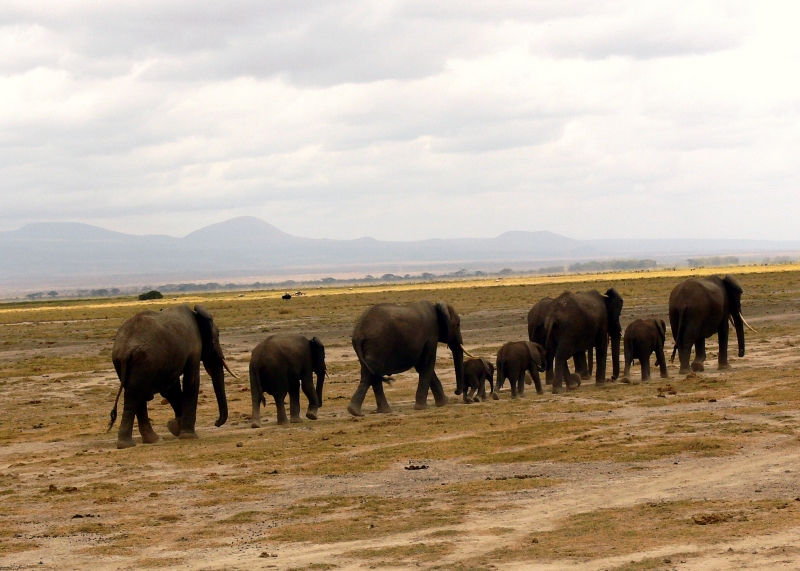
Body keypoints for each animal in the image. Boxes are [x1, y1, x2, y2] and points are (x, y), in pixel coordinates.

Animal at [108, 305, 236, 449]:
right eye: (217, 335)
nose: (216, 423)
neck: (197, 314)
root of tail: (125, 350)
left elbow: (171, 390)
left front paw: (174, 427)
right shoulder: (194, 347)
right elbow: (191, 381)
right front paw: (187, 436)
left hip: (124, 362)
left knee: (135, 394)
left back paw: (147, 440)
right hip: (145, 361)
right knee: (135, 395)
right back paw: (130, 443)